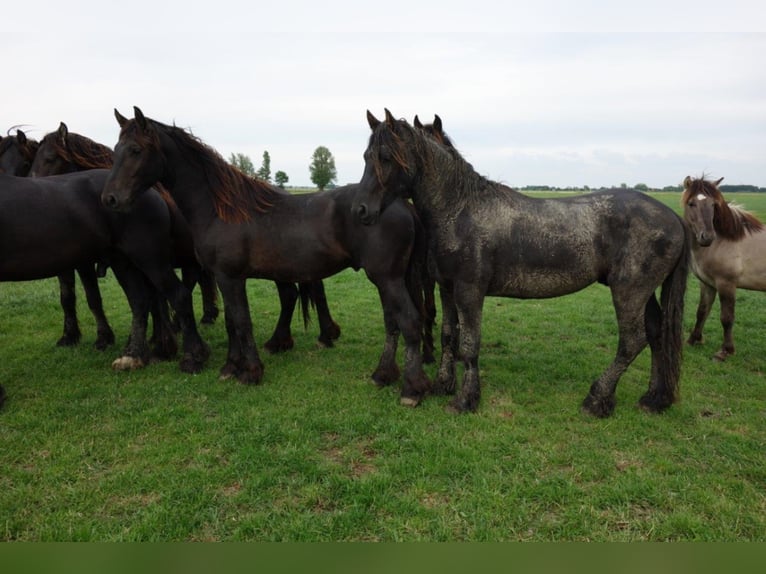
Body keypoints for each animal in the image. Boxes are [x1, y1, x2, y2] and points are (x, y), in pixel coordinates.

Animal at [28, 121, 342, 354]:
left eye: (51, 158)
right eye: (116, 151)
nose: (110, 199)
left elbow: (151, 298)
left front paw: (160, 342)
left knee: (305, 290)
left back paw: (319, 335)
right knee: (292, 294)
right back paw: (287, 339)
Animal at [102, 107, 436, 404]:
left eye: (135, 150)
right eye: (116, 149)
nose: (110, 199)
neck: (219, 209)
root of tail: (400, 204)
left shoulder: (229, 277)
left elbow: (242, 321)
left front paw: (250, 372)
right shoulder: (226, 278)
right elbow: (231, 322)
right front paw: (230, 366)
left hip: (387, 278)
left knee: (408, 321)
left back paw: (412, 389)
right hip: (388, 280)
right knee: (393, 323)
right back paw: (383, 374)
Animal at [356, 111, 692, 418]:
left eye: (386, 157)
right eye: (366, 156)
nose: (360, 210)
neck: (460, 211)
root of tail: (675, 218)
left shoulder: (469, 291)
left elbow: (470, 345)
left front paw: (466, 400)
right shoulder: (447, 289)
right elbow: (449, 337)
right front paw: (442, 386)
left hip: (629, 292)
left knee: (632, 342)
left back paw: (598, 399)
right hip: (644, 293)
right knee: (656, 334)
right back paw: (654, 399)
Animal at [684, 174, 766, 360]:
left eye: (713, 205)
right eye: (691, 203)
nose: (707, 237)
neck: (723, 241)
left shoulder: (726, 284)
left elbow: (727, 318)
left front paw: (725, 351)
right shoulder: (707, 283)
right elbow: (702, 311)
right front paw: (694, 339)